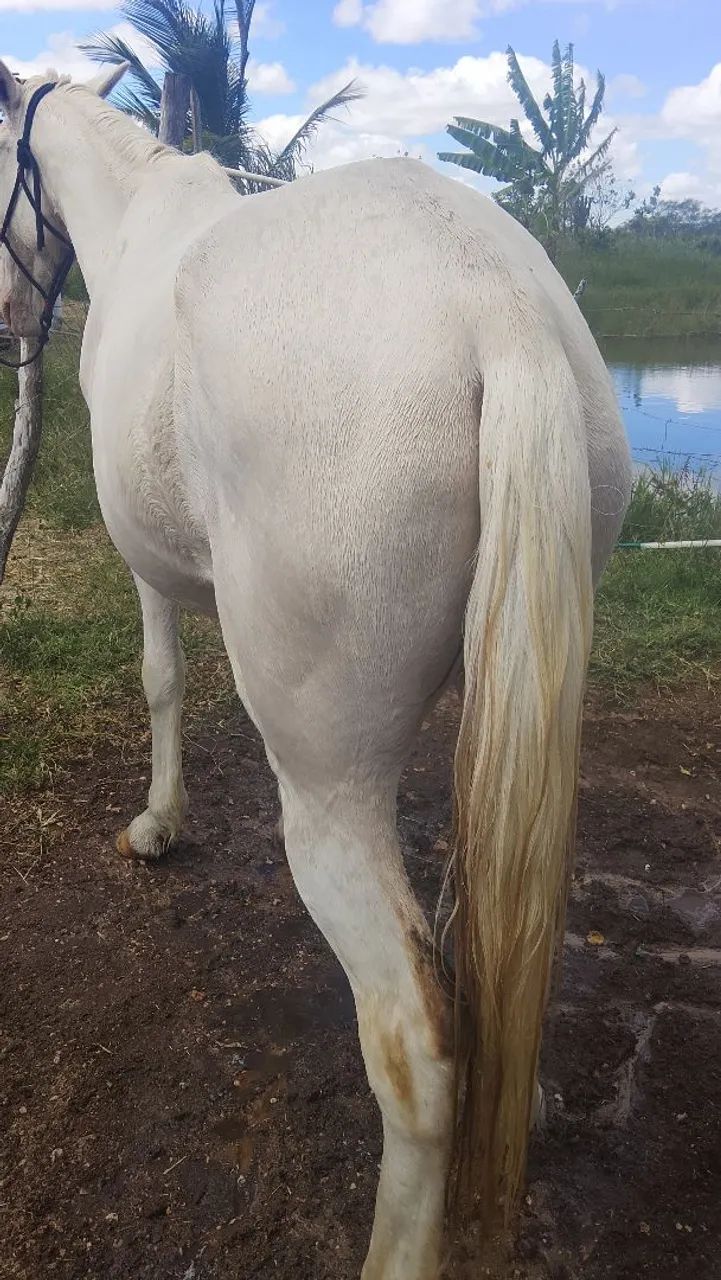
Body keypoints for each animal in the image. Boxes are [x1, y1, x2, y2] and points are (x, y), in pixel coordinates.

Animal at [0, 63, 631, 1278]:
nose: (11, 315)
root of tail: (498, 311)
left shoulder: (143, 565)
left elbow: (159, 676)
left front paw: (159, 823)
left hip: (328, 783)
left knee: (416, 1043)